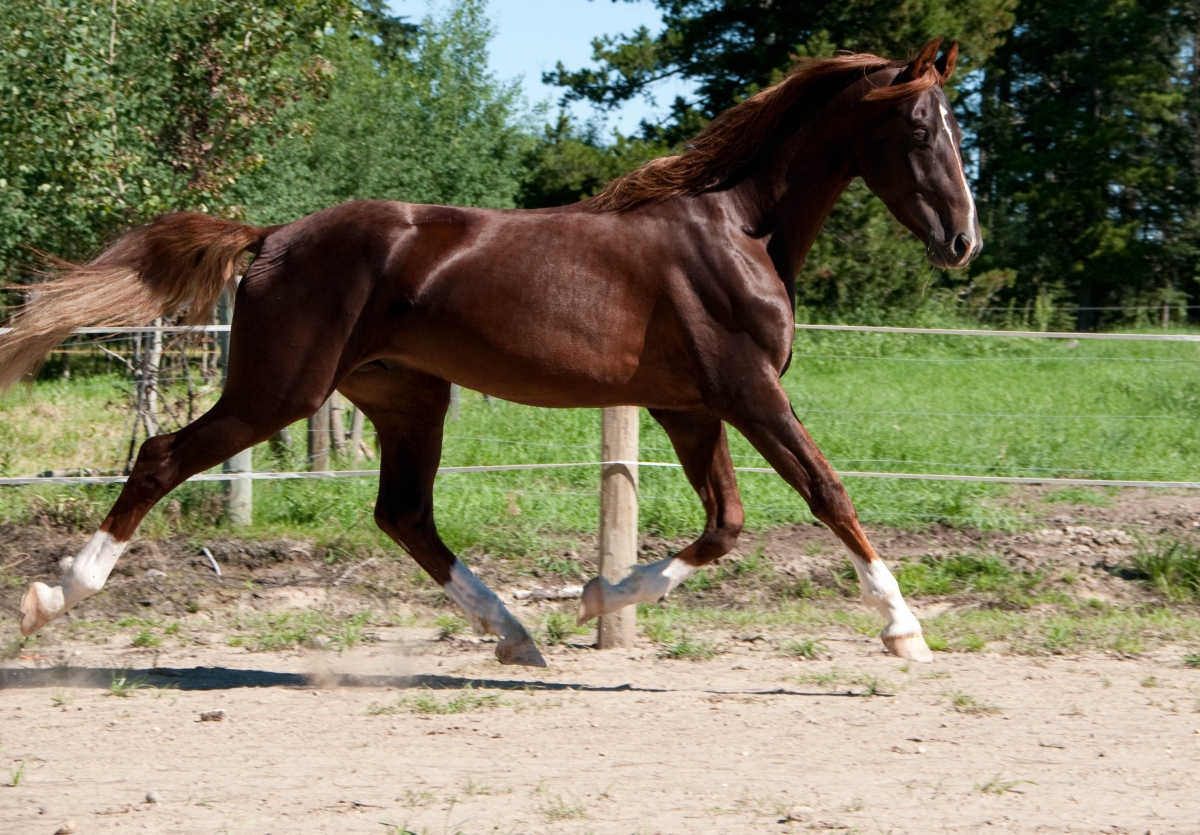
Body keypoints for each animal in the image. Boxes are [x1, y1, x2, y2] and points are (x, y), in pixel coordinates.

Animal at [2, 39, 979, 667]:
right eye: (921, 127)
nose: (963, 241)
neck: (735, 231)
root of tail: (271, 235)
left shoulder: (691, 405)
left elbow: (725, 524)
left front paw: (595, 595)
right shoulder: (748, 393)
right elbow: (828, 492)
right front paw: (906, 632)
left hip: (405, 397)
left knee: (404, 515)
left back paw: (517, 633)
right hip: (279, 391)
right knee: (162, 456)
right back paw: (52, 597)